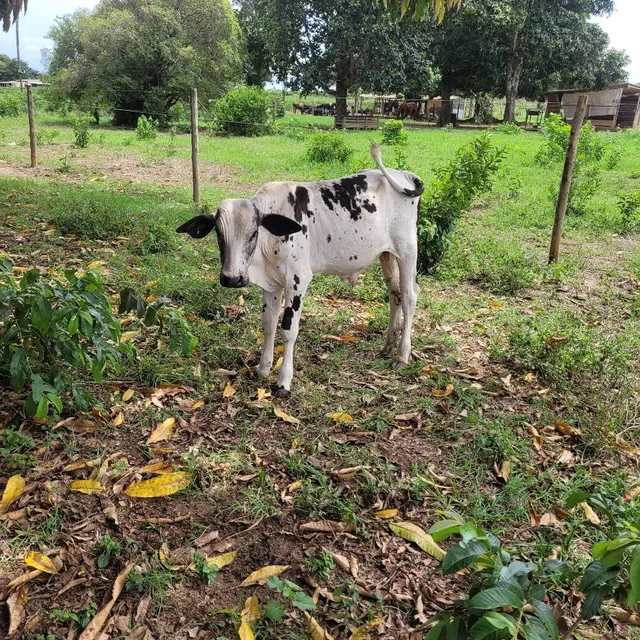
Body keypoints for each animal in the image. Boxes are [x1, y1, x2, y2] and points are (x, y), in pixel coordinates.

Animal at [176, 144, 424, 398]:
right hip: (387, 255)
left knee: (409, 296)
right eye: (218, 233)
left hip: (407, 251)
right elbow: (268, 324)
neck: (269, 241)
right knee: (395, 294)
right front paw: (263, 368)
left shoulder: (297, 282)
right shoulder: (271, 286)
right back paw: (387, 346)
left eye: (253, 233)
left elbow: (288, 330)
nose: (232, 278)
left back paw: (401, 355)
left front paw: (283, 382)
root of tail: (405, 175)